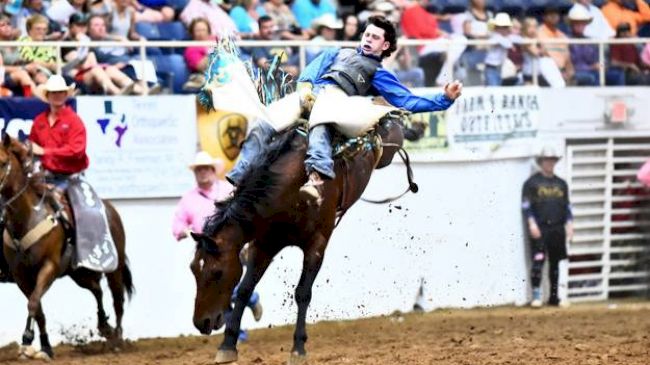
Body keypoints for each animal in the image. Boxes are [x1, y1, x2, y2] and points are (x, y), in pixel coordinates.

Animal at [0, 134, 132, 358]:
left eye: (2, 162)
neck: (27, 218)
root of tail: (111, 209)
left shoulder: (49, 267)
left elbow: (33, 302)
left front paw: (26, 341)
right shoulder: (21, 276)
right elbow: (38, 308)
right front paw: (45, 347)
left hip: (114, 267)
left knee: (118, 300)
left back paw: (117, 339)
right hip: (79, 273)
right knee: (97, 290)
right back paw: (104, 326)